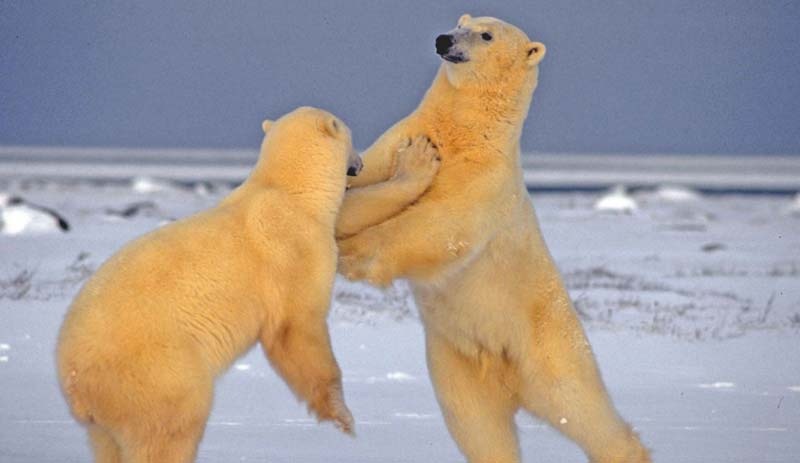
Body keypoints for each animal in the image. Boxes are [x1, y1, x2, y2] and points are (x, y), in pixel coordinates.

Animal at [57, 107, 382, 462]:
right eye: (351, 140)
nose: (361, 163)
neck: (293, 192)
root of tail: (74, 381)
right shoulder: (294, 250)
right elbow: (295, 328)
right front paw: (344, 420)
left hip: (108, 412)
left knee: (108, 444)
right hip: (155, 371)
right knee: (172, 426)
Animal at [340, 15, 652, 463]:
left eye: (485, 34)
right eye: (460, 21)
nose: (443, 39)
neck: (466, 130)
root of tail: (509, 380)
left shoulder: (486, 177)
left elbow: (440, 225)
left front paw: (351, 253)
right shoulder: (403, 137)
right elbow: (363, 179)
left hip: (549, 344)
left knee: (580, 406)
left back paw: (625, 450)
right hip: (457, 365)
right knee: (480, 428)